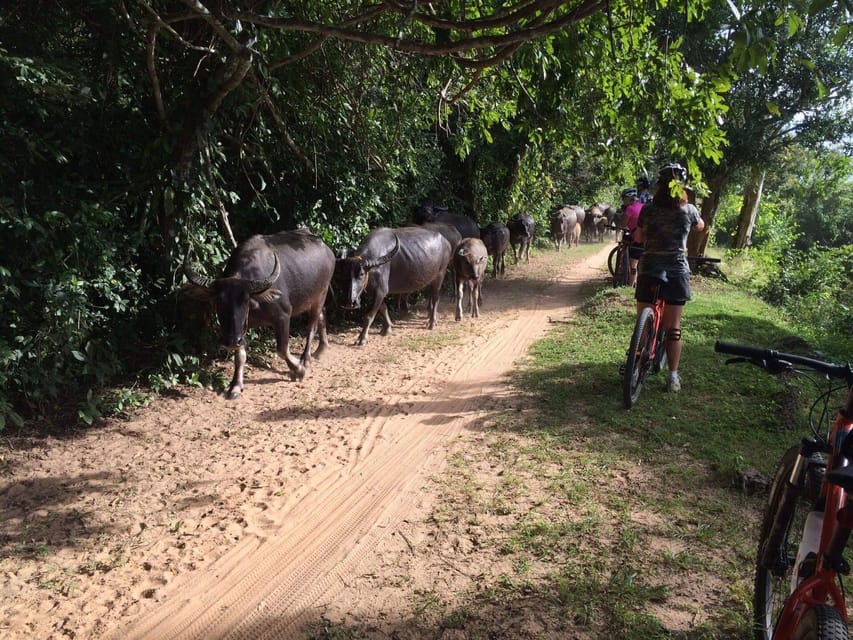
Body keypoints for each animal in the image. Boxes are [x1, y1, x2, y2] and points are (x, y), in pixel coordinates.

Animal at [182, 230, 332, 400]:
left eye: (245, 301)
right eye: (218, 302)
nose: (230, 341)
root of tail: (328, 251)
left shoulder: (283, 317)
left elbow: (282, 349)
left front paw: (299, 370)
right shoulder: (240, 330)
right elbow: (240, 356)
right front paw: (235, 385)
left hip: (320, 295)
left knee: (311, 327)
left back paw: (306, 359)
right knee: (322, 316)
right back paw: (321, 349)